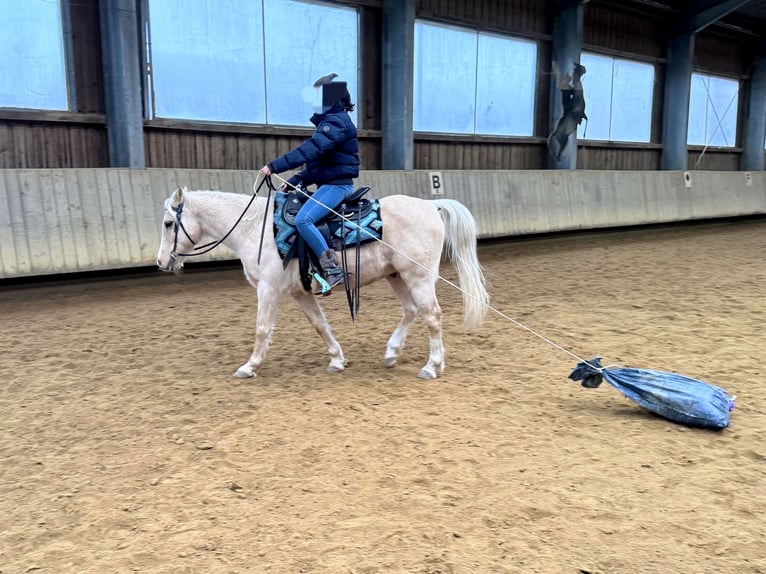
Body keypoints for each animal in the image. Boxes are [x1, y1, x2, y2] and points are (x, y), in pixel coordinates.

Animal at [155, 185, 489, 379]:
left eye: (169, 223)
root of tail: (431, 206)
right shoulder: (299, 292)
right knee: (411, 310)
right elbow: (320, 324)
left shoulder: (268, 289)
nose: (161, 262)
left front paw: (249, 366)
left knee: (432, 315)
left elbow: (262, 328)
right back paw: (392, 353)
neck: (254, 227)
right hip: (397, 276)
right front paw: (337, 360)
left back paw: (432, 366)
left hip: (418, 276)